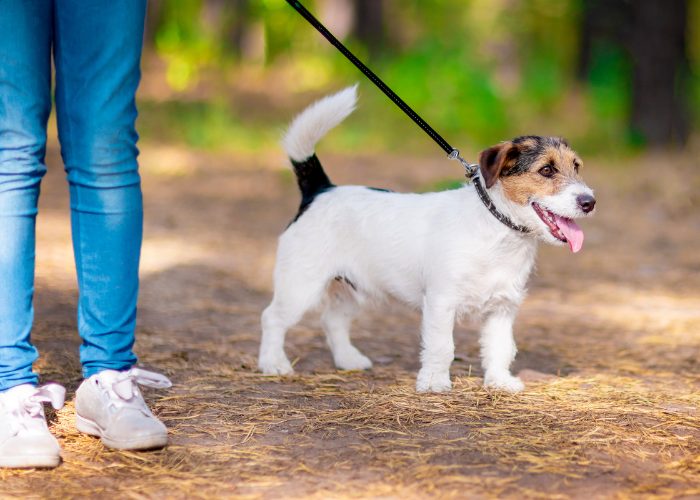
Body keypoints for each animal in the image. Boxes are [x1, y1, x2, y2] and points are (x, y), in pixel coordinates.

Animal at [258, 86, 596, 392]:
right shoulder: (440, 302)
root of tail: (320, 189)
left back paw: (348, 360)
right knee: (272, 318)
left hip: (352, 288)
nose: (589, 202)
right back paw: (273, 363)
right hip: (300, 286)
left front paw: (499, 381)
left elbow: (500, 348)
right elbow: (442, 347)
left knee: (333, 320)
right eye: (547, 170)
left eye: (577, 167)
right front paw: (434, 382)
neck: (496, 230)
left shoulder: (502, 308)